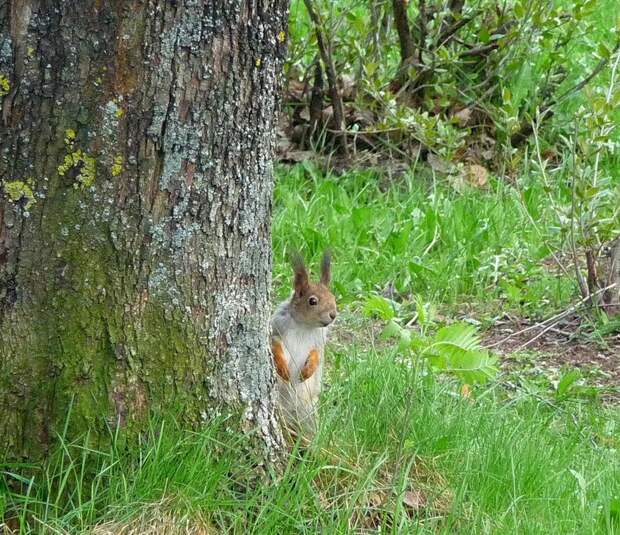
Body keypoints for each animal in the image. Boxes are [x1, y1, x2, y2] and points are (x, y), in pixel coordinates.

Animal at [272, 251, 336, 440]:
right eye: (312, 301)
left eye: (334, 297)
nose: (333, 315)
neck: (304, 325)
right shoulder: (276, 327)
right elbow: (274, 345)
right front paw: (282, 368)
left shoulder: (318, 341)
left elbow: (317, 355)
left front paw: (308, 370)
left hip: (308, 413)